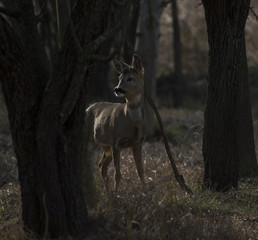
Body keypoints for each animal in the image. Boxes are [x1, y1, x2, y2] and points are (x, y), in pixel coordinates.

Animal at [86, 54, 146, 191]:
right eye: (119, 78)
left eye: (130, 78)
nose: (117, 89)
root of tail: (87, 108)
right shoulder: (116, 141)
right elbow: (117, 174)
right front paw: (117, 194)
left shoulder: (138, 142)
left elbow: (140, 170)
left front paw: (147, 191)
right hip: (91, 140)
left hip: (105, 144)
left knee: (101, 165)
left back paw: (107, 191)